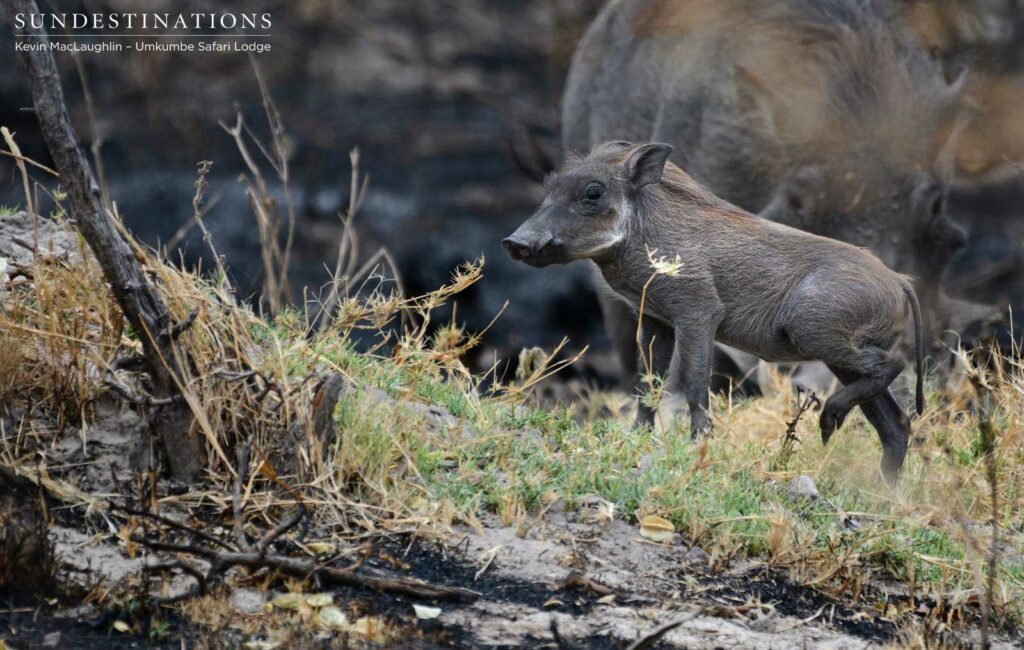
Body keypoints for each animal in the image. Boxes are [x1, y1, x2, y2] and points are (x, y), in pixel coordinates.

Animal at [504, 141, 924, 482]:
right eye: (549, 185)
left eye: (593, 192)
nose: (513, 242)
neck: (642, 232)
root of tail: (900, 280)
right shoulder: (656, 319)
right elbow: (647, 381)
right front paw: (637, 439)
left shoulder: (698, 312)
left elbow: (693, 381)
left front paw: (697, 447)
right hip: (837, 353)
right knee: (894, 423)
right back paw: (881, 492)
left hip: (816, 335)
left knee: (894, 365)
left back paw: (830, 422)